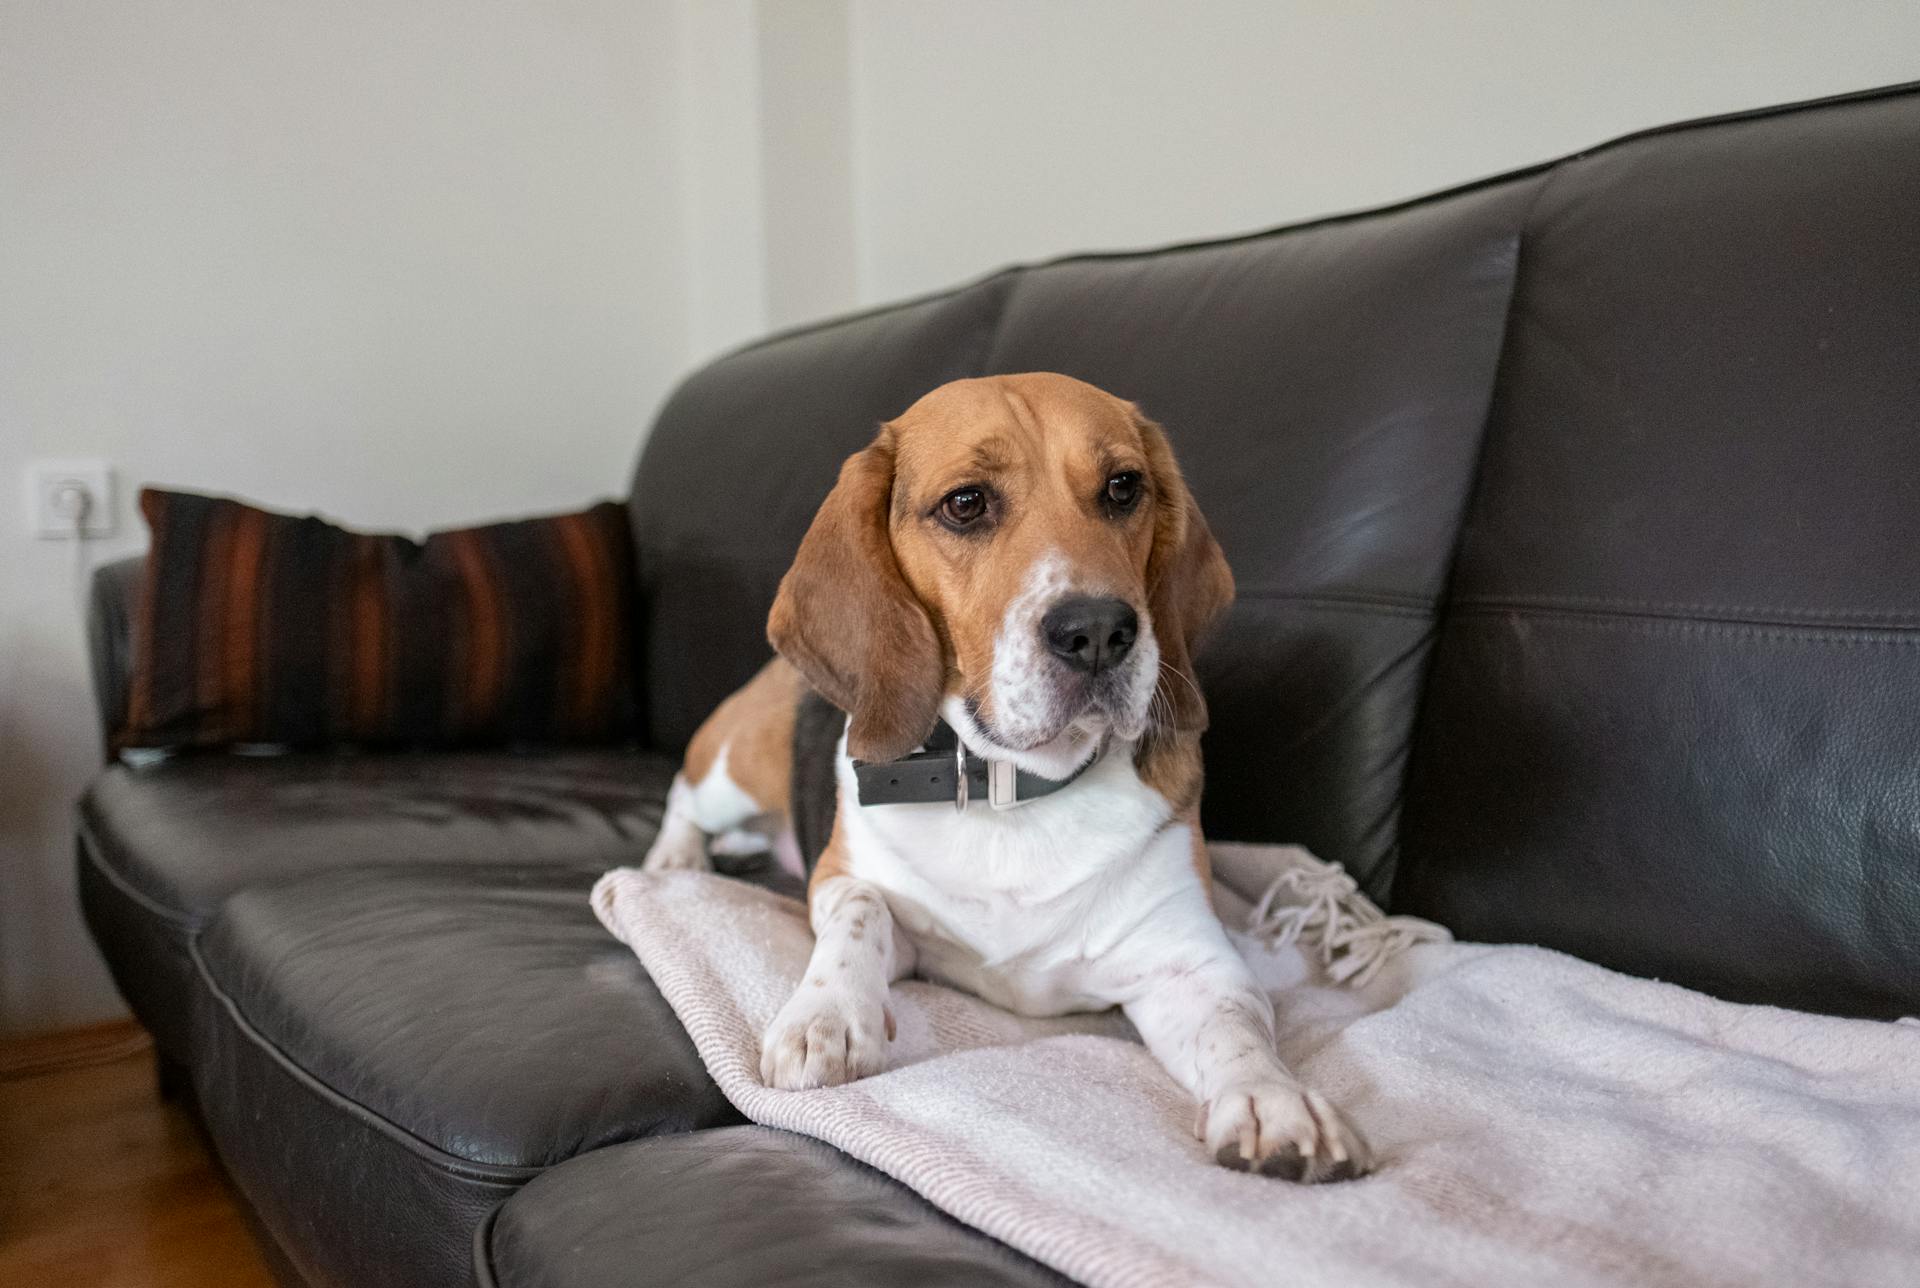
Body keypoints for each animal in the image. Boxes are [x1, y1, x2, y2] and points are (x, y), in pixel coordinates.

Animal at [652, 370, 1374, 1182]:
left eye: (1124, 488)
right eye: (966, 503)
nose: (1099, 630)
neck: (1014, 788)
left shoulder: (1190, 961)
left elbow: (1238, 1028)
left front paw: (1273, 1101)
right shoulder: (846, 882)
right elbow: (861, 912)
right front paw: (826, 1018)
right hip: (733, 765)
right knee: (683, 796)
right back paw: (674, 862)